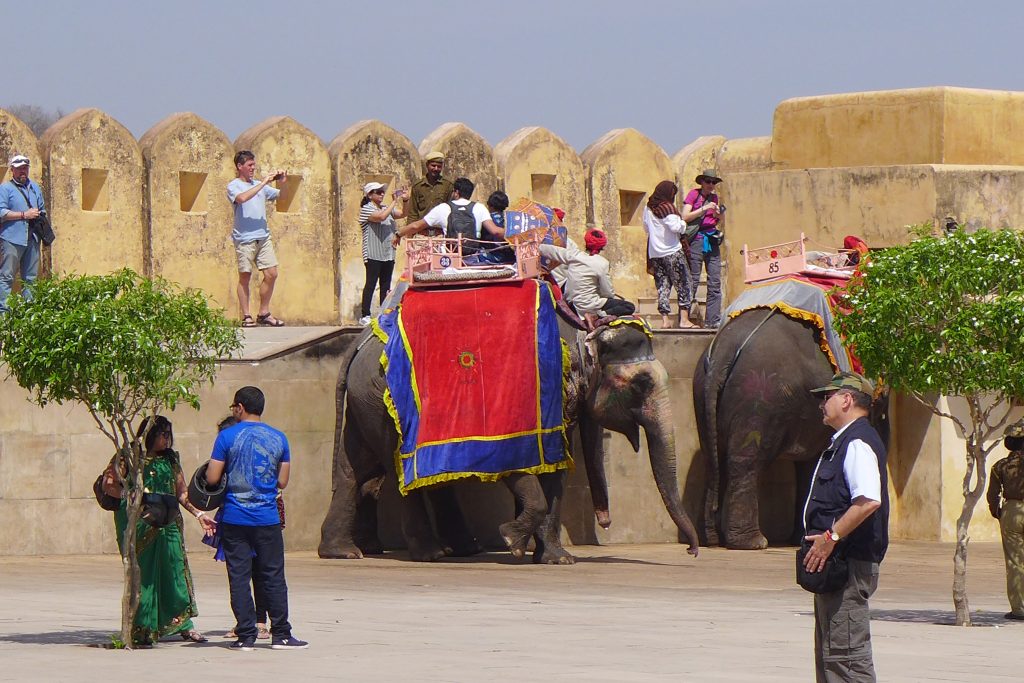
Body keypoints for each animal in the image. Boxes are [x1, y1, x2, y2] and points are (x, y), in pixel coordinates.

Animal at [317, 313, 704, 565]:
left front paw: (556, 560)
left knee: (354, 471)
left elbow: (555, 468)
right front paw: (510, 539)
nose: (691, 551)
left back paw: (344, 552)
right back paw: (430, 554)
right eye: (641, 384)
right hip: (385, 406)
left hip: (366, 403)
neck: (581, 338)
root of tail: (358, 343)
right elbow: (513, 461)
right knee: (398, 470)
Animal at [696, 309, 888, 548]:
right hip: (759, 397)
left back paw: (711, 539)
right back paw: (753, 542)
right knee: (745, 461)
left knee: (712, 457)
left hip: (703, 394)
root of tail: (723, 349)